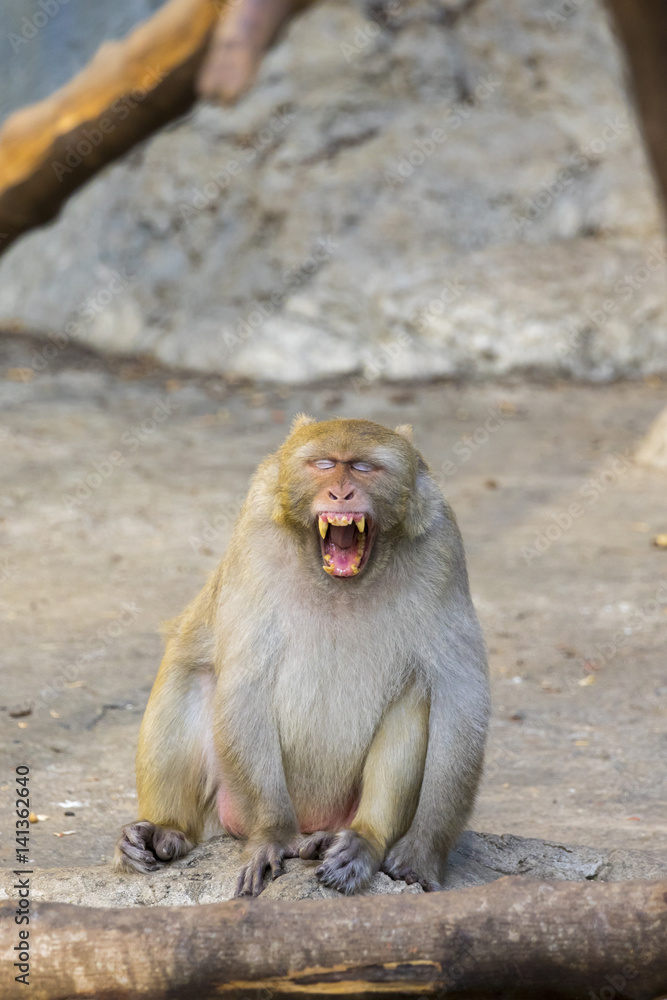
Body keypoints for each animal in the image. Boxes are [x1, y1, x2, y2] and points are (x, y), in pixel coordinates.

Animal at [115, 416, 490, 896]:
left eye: (364, 467)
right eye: (325, 464)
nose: (341, 494)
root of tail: (315, 821)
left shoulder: (441, 545)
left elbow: (460, 696)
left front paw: (423, 850)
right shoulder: (256, 536)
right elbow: (245, 681)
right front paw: (273, 833)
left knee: (416, 692)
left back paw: (361, 840)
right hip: (228, 806)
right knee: (191, 673)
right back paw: (167, 830)